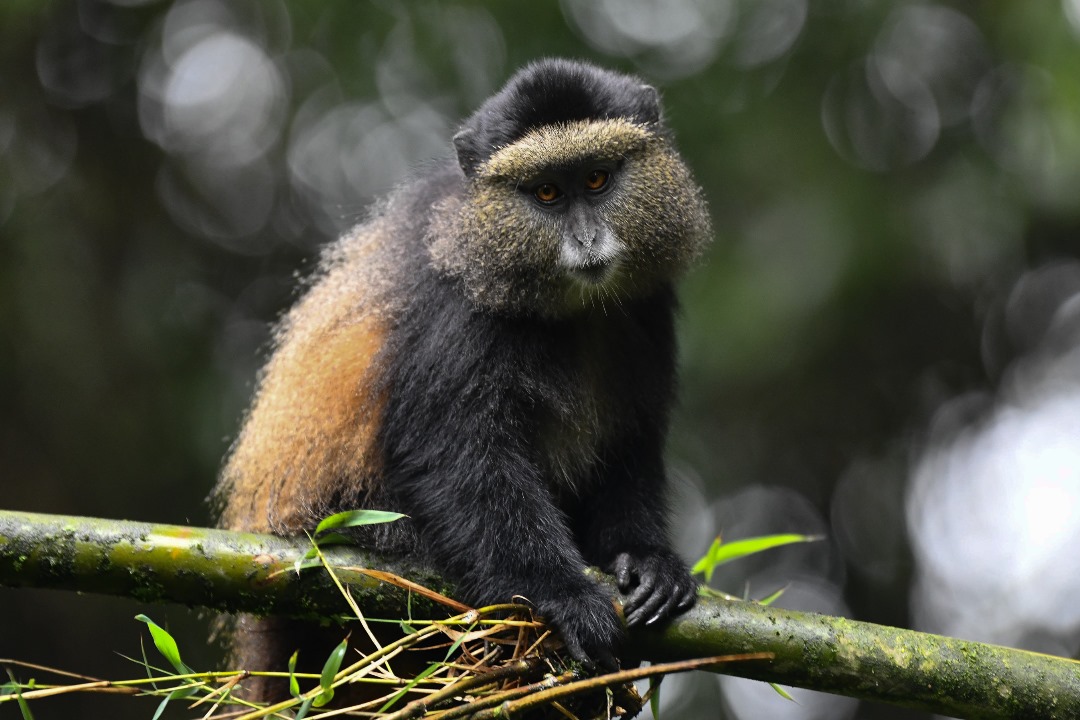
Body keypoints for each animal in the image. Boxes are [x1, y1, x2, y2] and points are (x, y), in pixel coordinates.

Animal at [215, 57, 712, 699]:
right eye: (547, 192)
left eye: (598, 179)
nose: (586, 240)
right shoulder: (460, 305)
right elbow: (453, 452)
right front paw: (563, 595)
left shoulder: (647, 309)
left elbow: (631, 444)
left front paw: (647, 560)